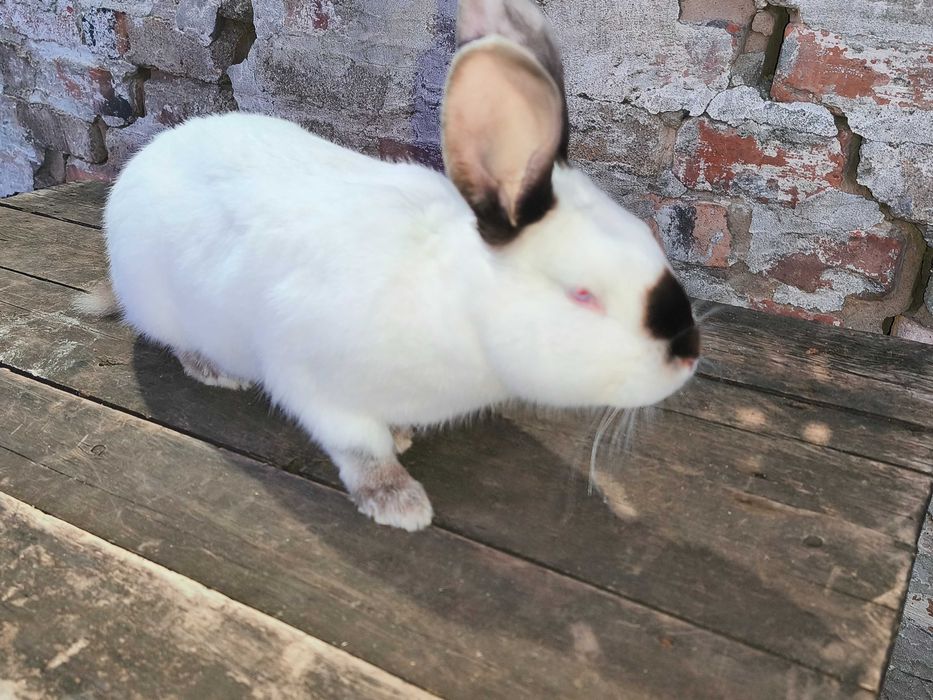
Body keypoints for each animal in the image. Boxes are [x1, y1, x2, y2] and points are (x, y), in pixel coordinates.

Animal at [76, 0, 700, 532]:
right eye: (583, 294)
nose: (688, 358)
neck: (454, 301)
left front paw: (402, 435)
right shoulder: (314, 385)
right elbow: (360, 450)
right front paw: (399, 503)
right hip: (164, 305)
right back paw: (215, 371)